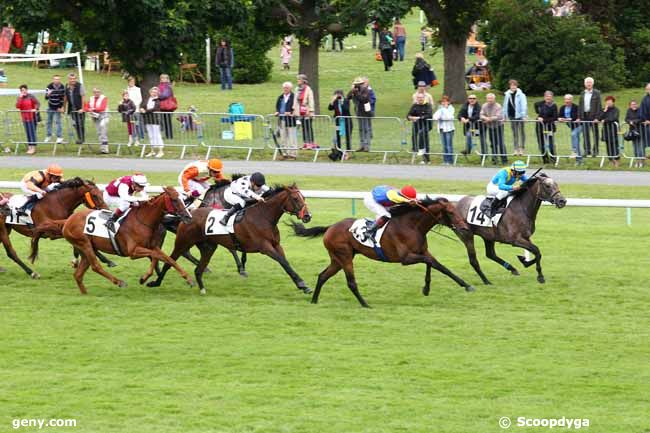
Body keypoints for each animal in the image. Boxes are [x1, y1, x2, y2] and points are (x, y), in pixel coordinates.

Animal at [31, 186, 192, 294]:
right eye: (174, 200)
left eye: (183, 199)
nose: (188, 217)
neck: (143, 220)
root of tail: (68, 220)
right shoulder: (133, 251)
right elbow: (157, 256)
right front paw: (146, 278)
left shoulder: (152, 246)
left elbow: (165, 258)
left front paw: (188, 278)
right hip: (84, 244)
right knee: (96, 266)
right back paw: (119, 282)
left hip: (87, 248)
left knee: (78, 274)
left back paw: (85, 293)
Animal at [142, 184, 314, 296]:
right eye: (295, 198)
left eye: (304, 197)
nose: (307, 216)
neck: (263, 217)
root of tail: (189, 215)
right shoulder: (265, 247)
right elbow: (283, 262)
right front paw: (302, 284)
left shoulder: (276, 245)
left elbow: (286, 262)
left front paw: (303, 285)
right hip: (183, 242)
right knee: (169, 261)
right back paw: (155, 282)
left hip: (208, 247)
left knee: (198, 269)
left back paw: (202, 288)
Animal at [292, 197, 474, 308]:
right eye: (450, 212)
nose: (465, 227)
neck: (412, 226)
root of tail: (330, 227)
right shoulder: (406, 258)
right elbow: (432, 263)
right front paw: (428, 288)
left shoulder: (423, 252)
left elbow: (439, 266)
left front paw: (463, 285)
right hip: (344, 256)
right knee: (351, 282)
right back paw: (365, 304)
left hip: (337, 259)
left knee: (323, 276)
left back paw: (314, 300)